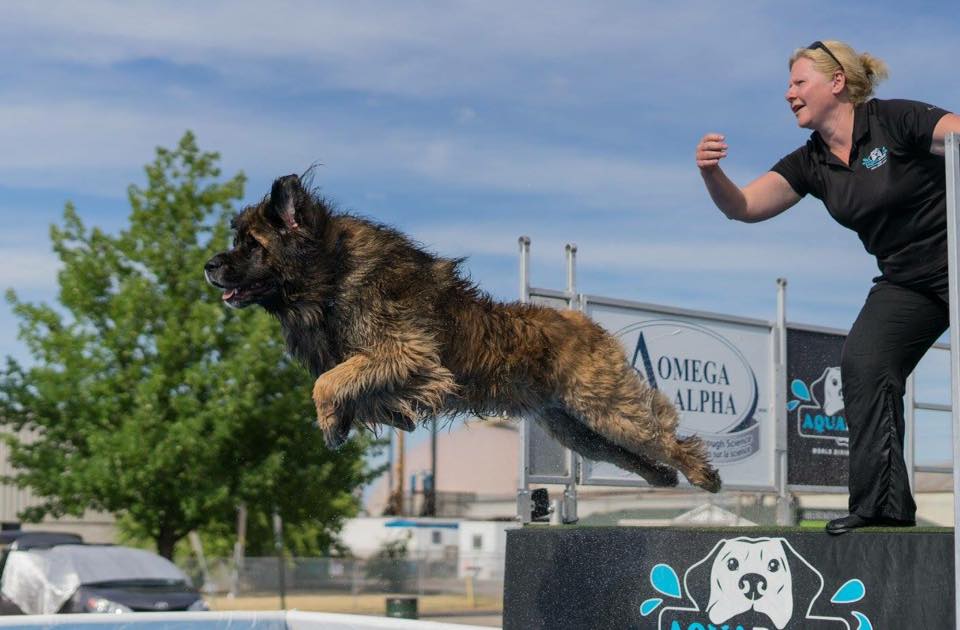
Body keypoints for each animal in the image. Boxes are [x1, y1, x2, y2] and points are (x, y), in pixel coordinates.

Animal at [206, 174, 724, 494]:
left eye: (252, 246)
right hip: (580, 430)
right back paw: (663, 478)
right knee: (635, 453)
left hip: (607, 408)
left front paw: (331, 423)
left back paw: (703, 473)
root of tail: (583, 320)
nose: (209, 265)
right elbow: (346, 383)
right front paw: (358, 418)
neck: (331, 276)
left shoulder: (406, 353)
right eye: (238, 242)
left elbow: (326, 382)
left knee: (664, 433)